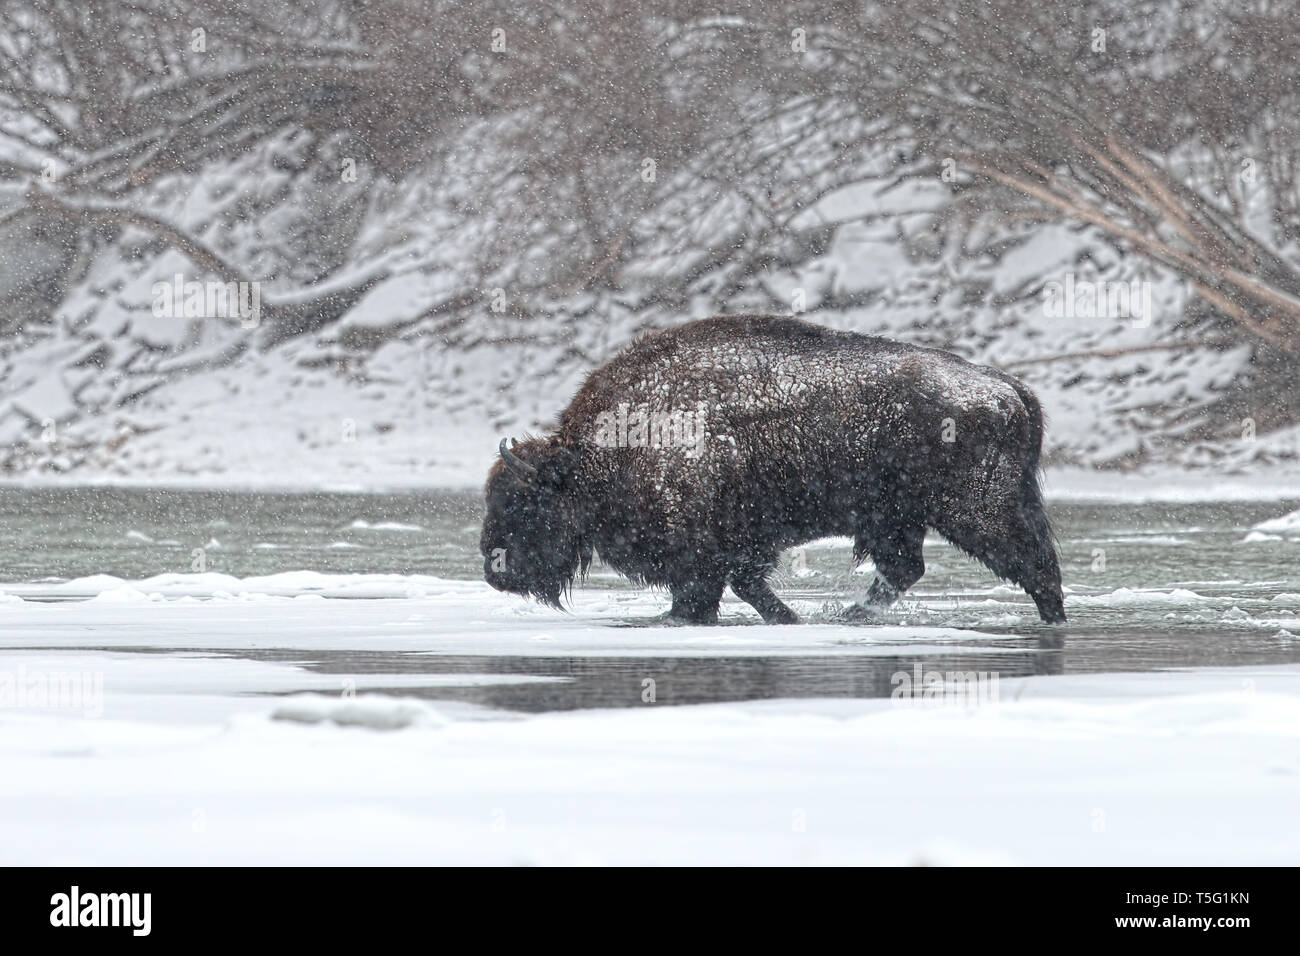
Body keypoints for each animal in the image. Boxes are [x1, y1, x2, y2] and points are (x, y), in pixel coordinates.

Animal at [480, 316, 1066, 629]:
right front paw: (788, 619)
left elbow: (710, 591)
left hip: (978, 512)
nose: (493, 568)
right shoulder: (738, 547)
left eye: (522, 502)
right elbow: (741, 587)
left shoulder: (708, 550)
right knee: (904, 569)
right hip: (894, 518)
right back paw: (850, 616)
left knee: (1034, 565)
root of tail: (1006, 388)